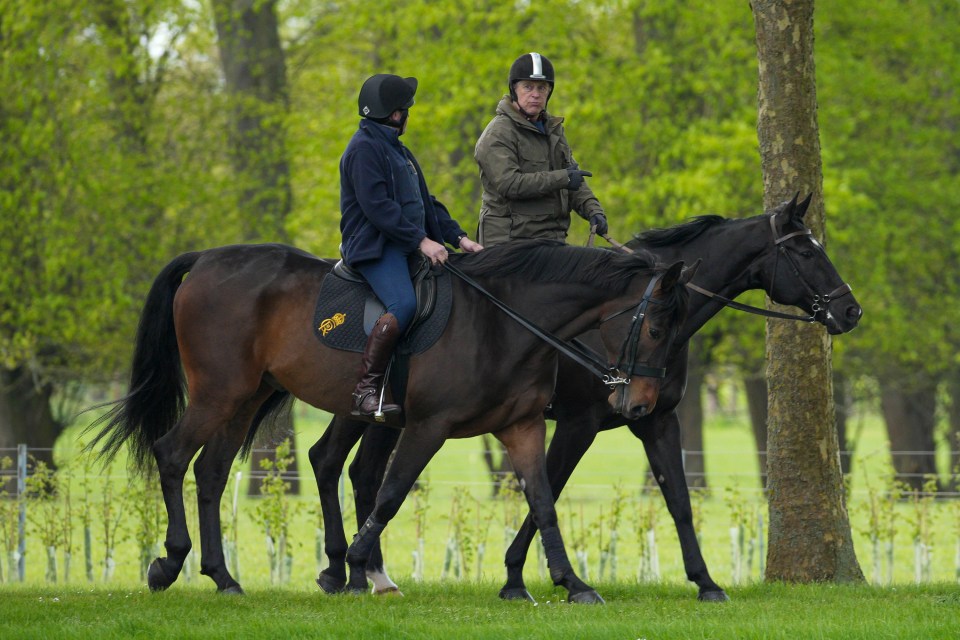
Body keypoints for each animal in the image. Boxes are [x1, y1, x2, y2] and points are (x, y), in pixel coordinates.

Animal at [86, 238, 692, 604]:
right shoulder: (427, 427)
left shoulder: (522, 428)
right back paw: (170, 564)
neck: (501, 320)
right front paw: (357, 565)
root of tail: (208, 259)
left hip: (245, 399)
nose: (641, 406)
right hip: (218, 394)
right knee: (172, 455)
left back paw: (222, 576)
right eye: (657, 329)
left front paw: (572, 582)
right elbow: (393, 492)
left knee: (210, 474)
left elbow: (543, 503)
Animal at [308, 194, 864, 600]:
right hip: (374, 410)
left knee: (351, 468)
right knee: (335, 462)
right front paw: (519, 577)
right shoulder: (578, 423)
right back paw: (347, 572)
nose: (851, 311)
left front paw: (706, 582)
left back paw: (364, 572)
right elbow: (547, 492)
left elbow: (679, 500)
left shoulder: (656, 420)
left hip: (388, 415)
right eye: (808, 252)